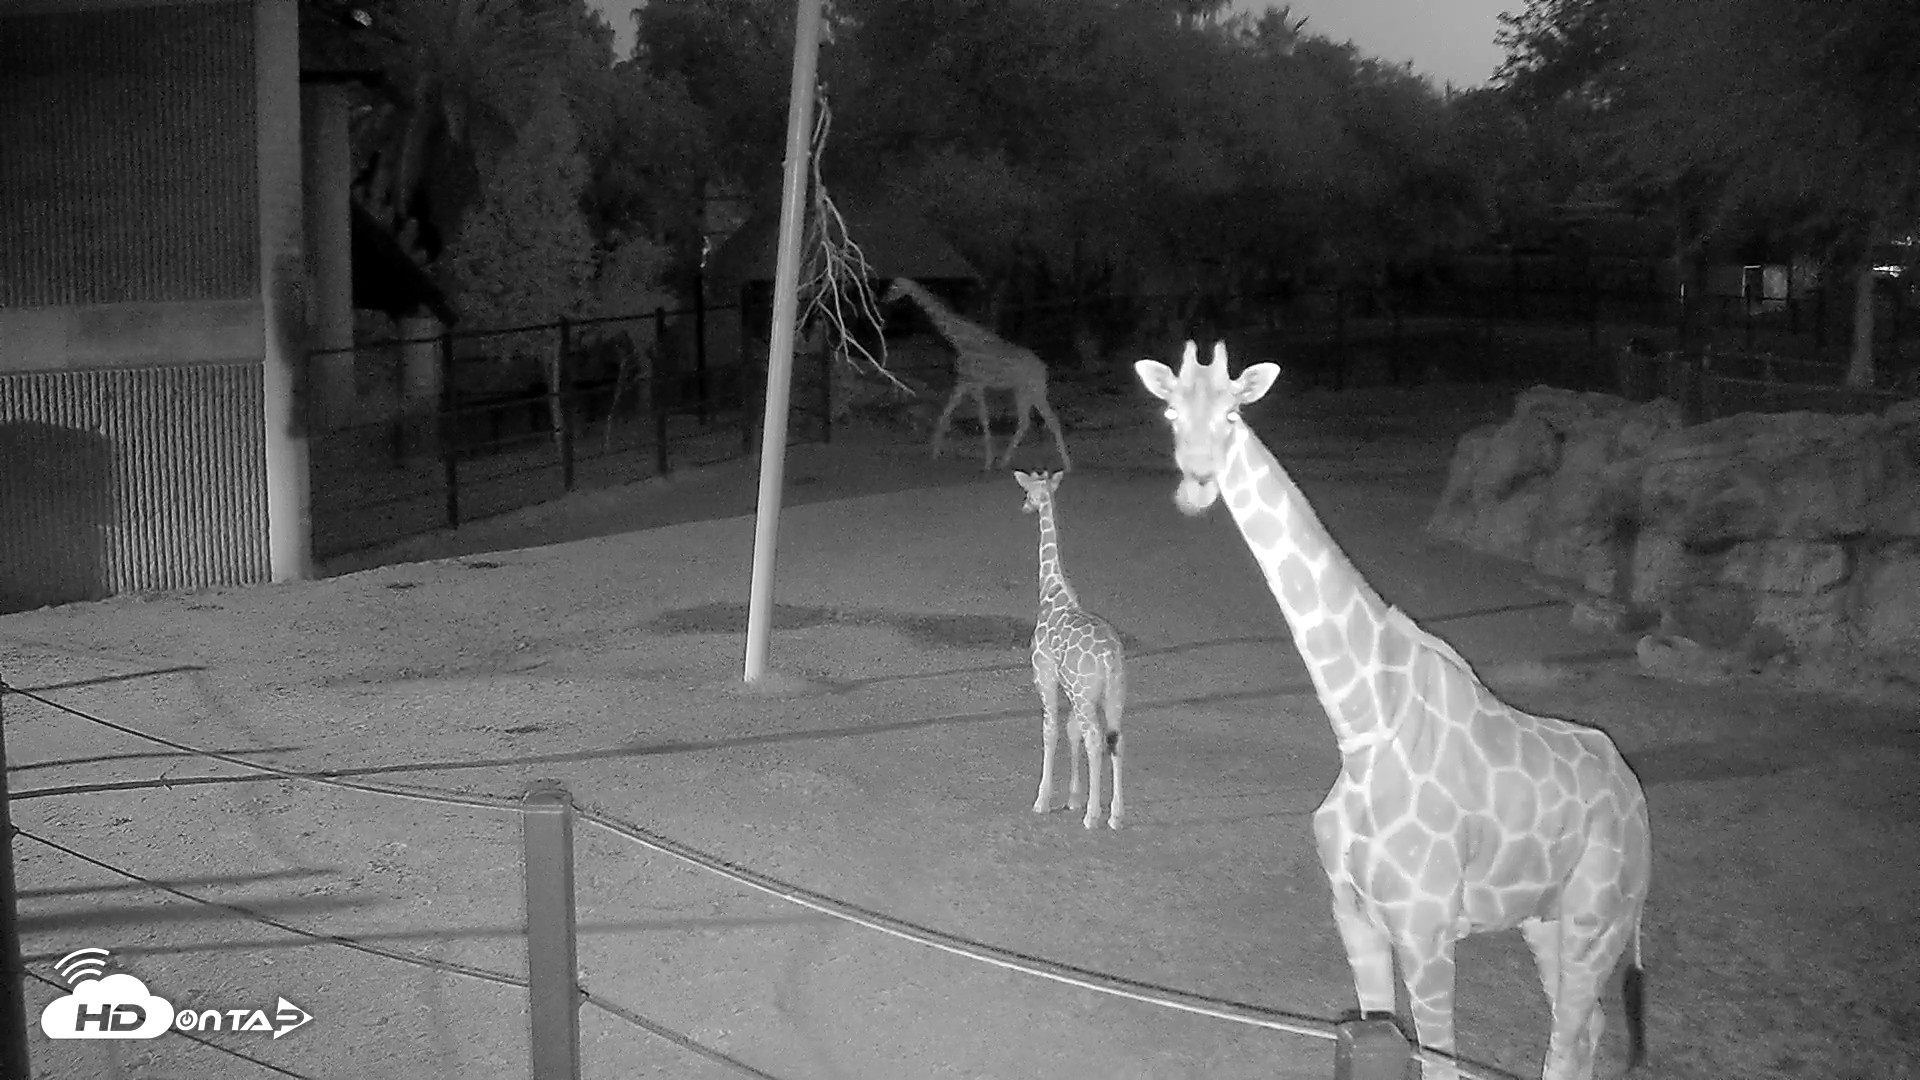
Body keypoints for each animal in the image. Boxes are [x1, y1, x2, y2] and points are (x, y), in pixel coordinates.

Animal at [882, 278, 1072, 471]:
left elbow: (983, 419)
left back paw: (1066, 465)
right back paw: (1005, 462)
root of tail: (1044, 368)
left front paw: (987, 462)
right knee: (1027, 422)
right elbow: (945, 413)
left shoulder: (976, 384)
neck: (959, 340)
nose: (885, 299)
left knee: (1049, 419)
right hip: (1022, 391)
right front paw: (934, 453)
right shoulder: (963, 382)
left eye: (895, 286)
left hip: (1034, 389)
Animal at [1014, 469, 1125, 830]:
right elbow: (1070, 729)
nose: (1025, 506)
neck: (1051, 593)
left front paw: (1042, 800)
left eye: (1030, 493)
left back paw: (1093, 817)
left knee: (1095, 738)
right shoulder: (1070, 689)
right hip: (1113, 695)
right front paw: (1073, 799)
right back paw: (1115, 815)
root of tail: (1108, 659)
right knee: (1114, 738)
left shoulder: (1045, 676)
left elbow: (1050, 730)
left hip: (1085, 693)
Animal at [1135, 342, 1651, 1080]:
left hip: (1597, 919)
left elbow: (1441, 1062)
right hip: (1545, 916)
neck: (1361, 723)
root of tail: (1637, 799)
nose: (1198, 484)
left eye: (1233, 414)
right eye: (1170, 413)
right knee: (1587, 1027)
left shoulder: (1426, 931)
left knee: (1572, 1032)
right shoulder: (1355, 918)